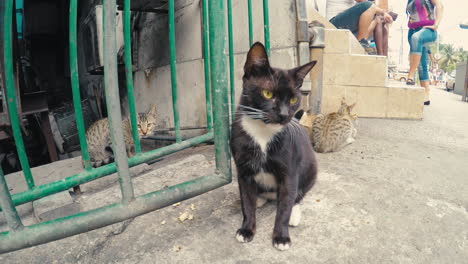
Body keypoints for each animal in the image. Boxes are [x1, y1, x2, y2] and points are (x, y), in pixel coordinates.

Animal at [230, 42, 318, 251]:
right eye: (267, 93)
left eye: (294, 99)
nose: (284, 114)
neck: (262, 133)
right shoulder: (243, 170)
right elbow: (247, 202)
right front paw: (246, 229)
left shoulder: (289, 172)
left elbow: (285, 205)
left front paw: (281, 237)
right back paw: (260, 199)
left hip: (310, 169)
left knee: (297, 195)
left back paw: (294, 213)